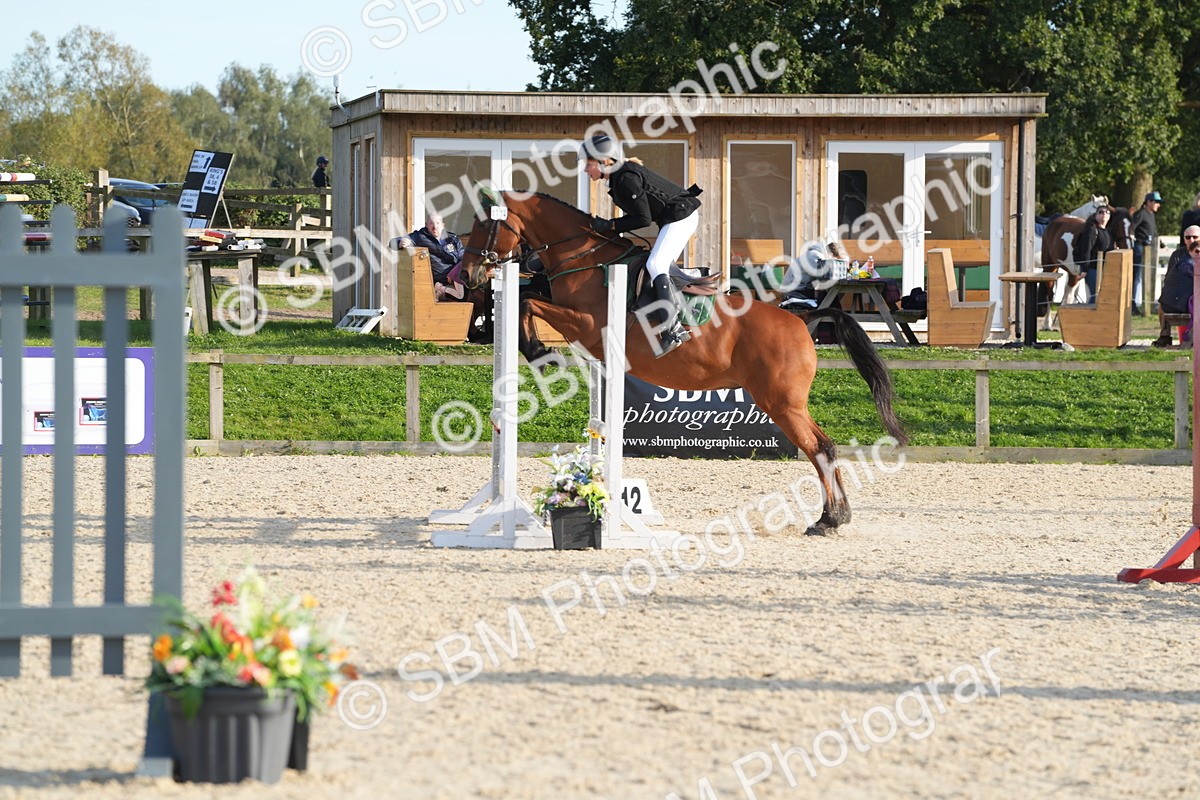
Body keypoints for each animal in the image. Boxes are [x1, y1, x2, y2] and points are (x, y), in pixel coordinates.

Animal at [458, 191, 907, 536]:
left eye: (483, 228)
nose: (468, 275)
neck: (583, 256)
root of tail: (800, 319)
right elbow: (527, 297)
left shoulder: (587, 324)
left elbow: (527, 301)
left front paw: (538, 351)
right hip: (787, 403)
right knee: (824, 447)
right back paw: (835, 517)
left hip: (781, 403)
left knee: (819, 449)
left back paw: (829, 520)